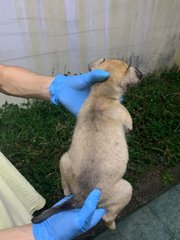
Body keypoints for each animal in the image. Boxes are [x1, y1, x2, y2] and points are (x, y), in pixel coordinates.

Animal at [32, 58, 142, 229]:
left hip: (64, 159)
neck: (100, 96)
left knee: (66, 190)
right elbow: (128, 125)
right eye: (127, 66)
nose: (141, 74)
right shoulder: (125, 117)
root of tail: (80, 198)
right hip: (125, 189)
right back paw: (112, 224)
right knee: (108, 216)